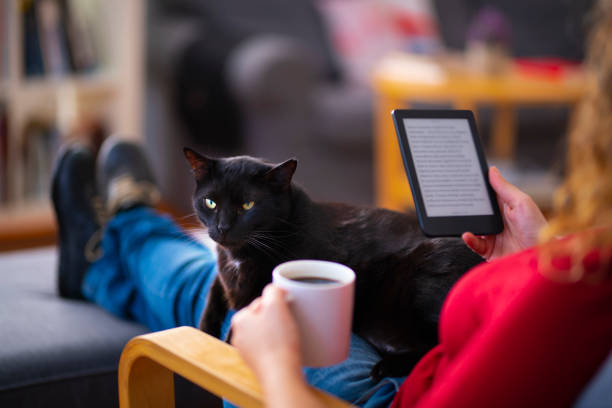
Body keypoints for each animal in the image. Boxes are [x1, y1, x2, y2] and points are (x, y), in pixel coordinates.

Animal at [182, 147, 482, 380]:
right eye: (210, 202)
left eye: (248, 205)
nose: (222, 228)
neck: (240, 256)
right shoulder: (223, 276)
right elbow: (212, 297)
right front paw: (204, 333)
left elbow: (246, 318)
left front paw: (228, 345)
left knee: (442, 348)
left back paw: (385, 367)